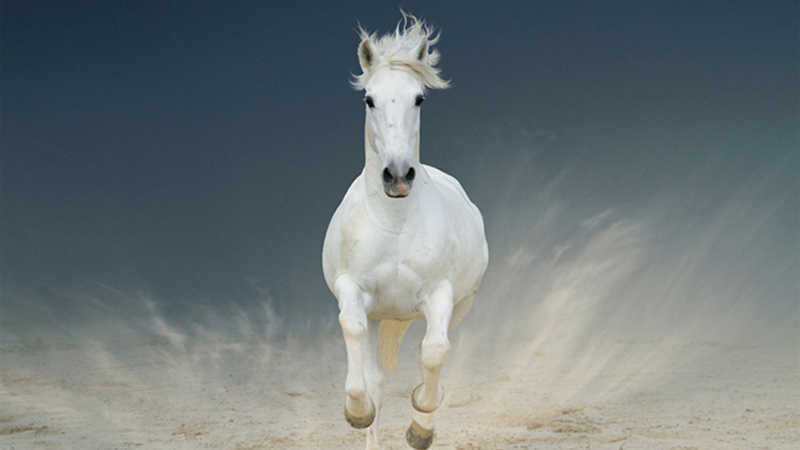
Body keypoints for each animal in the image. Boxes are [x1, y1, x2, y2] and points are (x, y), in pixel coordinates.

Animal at [322, 13, 488, 450]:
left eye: (419, 99)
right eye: (369, 99)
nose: (397, 176)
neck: (394, 224)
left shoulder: (440, 295)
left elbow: (434, 352)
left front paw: (420, 426)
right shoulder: (353, 292)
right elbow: (360, 358)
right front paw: (357, 411)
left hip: (461, 306)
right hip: (380, 314)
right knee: (376, 377)